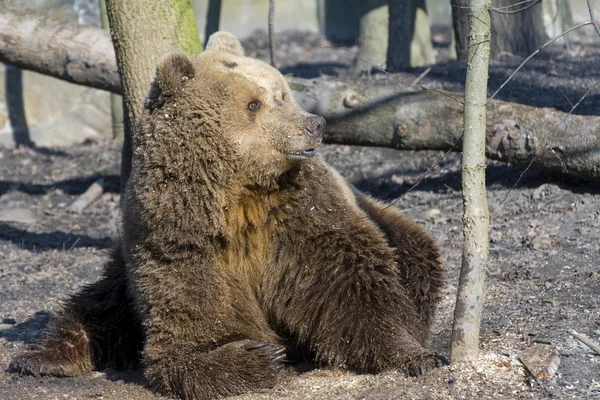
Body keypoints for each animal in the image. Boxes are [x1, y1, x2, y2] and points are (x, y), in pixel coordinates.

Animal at [7, 32, 442, 400]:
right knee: (99, 303)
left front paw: (414, 354)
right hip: (124, 258)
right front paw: (252, 356)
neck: (240, 192)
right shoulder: (178, 229)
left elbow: (350, 280)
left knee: (415, 256)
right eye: (254, 103)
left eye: (281, 92)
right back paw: (43, 355)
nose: (314, 124)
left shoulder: (299, 214)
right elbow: (196, 303)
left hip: (396, 230)